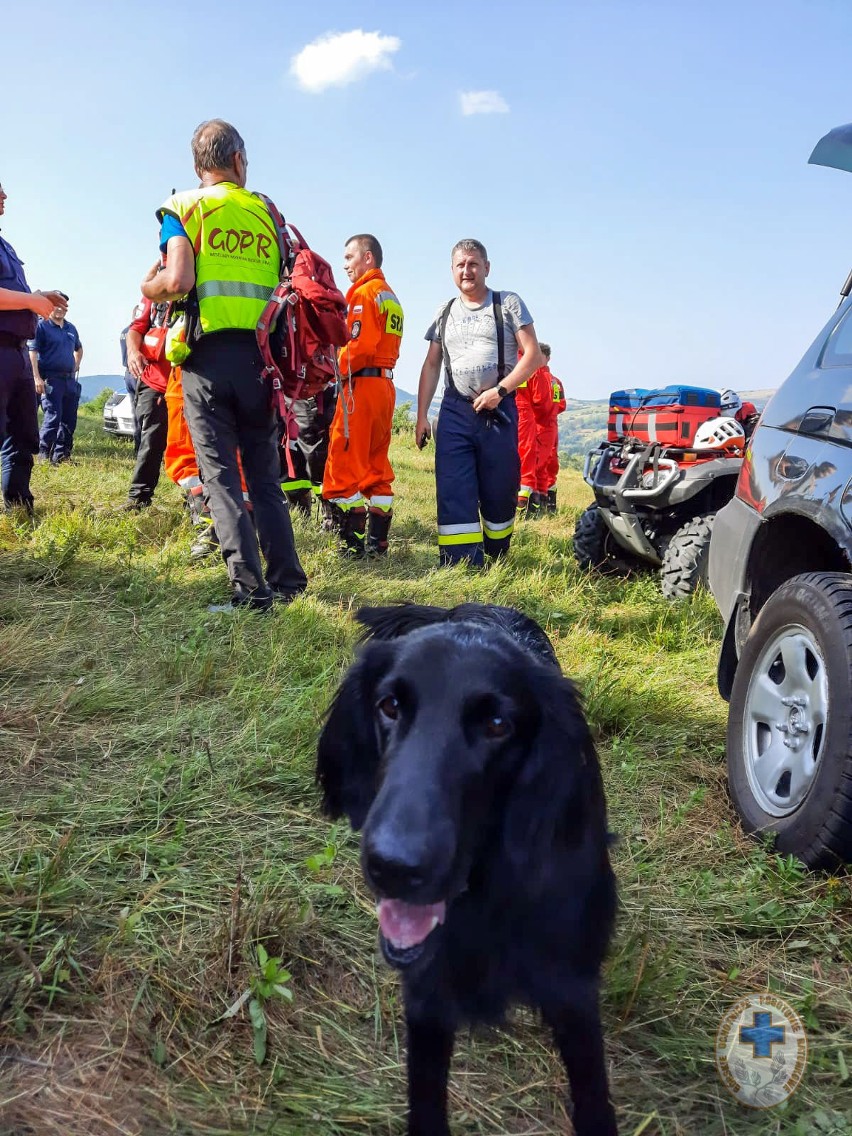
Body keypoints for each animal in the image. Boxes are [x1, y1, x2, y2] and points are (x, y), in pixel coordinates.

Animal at [318, 604, 617, 1136]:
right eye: (389, 706)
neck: (487, 890)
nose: (393, 866)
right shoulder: (427, 1002)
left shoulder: (572, 990)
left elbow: (594, 1100)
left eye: (497, 724)